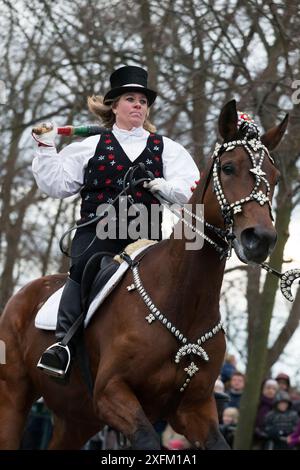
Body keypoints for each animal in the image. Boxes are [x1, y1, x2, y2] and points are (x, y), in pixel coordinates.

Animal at [0, 101, 288, 450]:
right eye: (229, 167)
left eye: (274, 176)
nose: (260, 239)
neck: (183, 301)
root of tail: (24, 293)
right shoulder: (112, 394)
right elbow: (149, 440)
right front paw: (46, 135)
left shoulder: (195, 408)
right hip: (14, 396)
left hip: (77, 418)